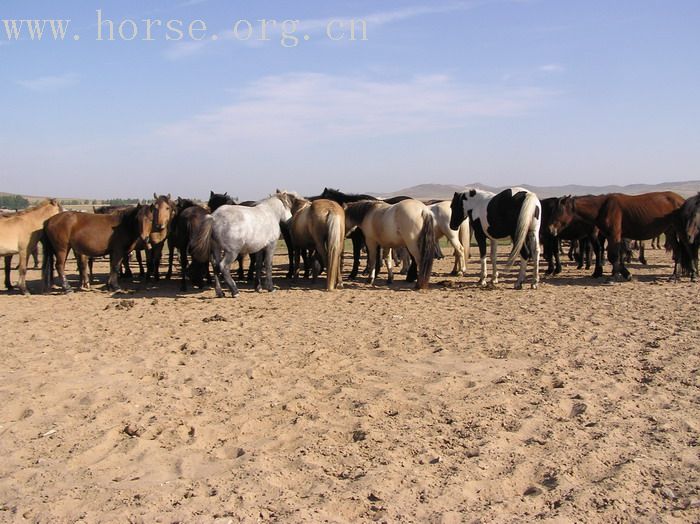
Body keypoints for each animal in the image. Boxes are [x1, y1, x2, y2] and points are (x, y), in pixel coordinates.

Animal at [548, 192, 684, 280]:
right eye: (553, 211)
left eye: (560, 211)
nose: (550, 229)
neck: (603, 208)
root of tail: (682, 200)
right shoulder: (610, 236)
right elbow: (616, 255)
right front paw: (619, 272)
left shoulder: (614, 235)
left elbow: (613, 256)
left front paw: (623, 274)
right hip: (670, 232)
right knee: (678, 250)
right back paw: (675, 274)